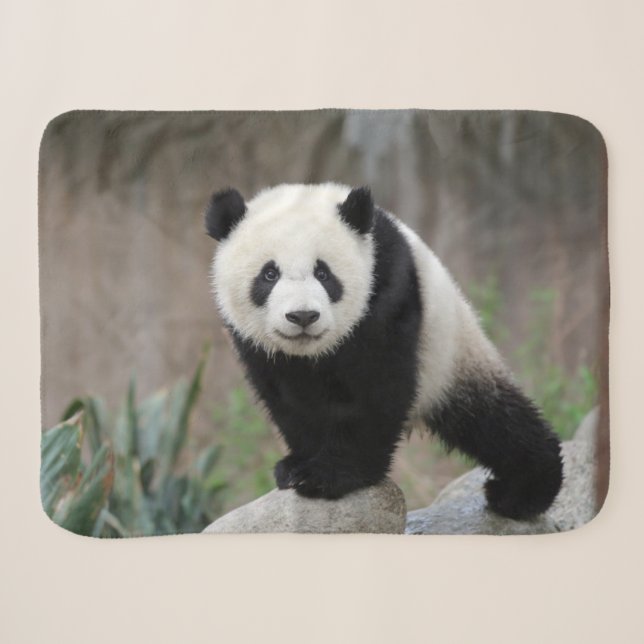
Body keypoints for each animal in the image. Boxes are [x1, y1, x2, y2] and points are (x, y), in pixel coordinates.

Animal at [205, 183, 563, 520]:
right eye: (269, 274)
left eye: (323, 273)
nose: (303, 316)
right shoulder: (259, 347)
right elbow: (290, 399)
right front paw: (296, 467)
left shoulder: (388, 287)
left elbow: (377, 388)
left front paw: (330, 475)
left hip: (452, 354)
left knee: (495, 421)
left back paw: (522, 491)